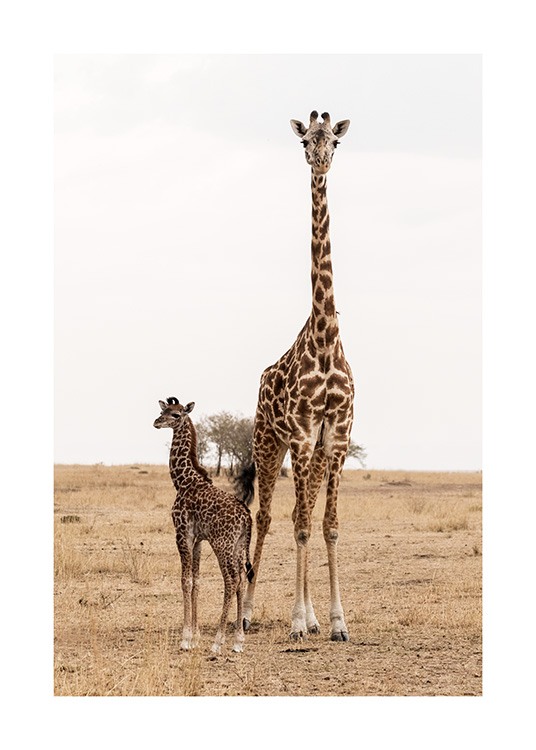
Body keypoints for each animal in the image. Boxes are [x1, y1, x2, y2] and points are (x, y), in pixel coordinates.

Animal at [154, 397, 254, 653]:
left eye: (176, 414)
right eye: (163, 410)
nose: (156, 422)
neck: (183, 481)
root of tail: (247, 517)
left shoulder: (182, 533)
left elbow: (185, 580)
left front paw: (186, 638)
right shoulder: (198, 539)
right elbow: (196, 582)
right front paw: (196, 636)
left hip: (222, 544)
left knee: (231, 580)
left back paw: (218, 641)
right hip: (239, 545)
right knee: (241, 579)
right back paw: (238, 641)